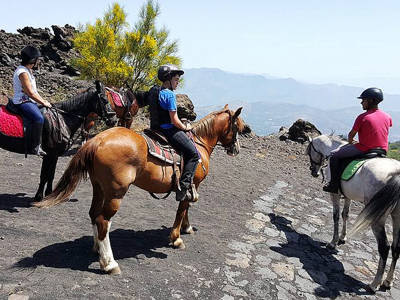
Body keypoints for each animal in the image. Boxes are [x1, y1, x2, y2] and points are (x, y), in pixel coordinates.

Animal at [35, 105, 244, 274]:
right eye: (237, 127)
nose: (236, 149)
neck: (199, 144)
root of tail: (98, 140)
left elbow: (186, 209)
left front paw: (187, 228)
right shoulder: (191, 184)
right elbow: (182, 208)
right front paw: (176, 238)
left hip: (99, 188)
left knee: (94, 214)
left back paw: (98, 250)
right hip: (116, 193)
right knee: (103, 220)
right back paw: (109, 264)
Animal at [308, 134, 400, 292]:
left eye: (309, 151)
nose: (314, 172)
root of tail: (396, 174)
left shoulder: (335, 194)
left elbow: (336, 216)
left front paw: (333, 242)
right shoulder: (347, 195)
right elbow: (345, 214)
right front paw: (342, 237)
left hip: (378, 218)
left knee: (384, 248)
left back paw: (374, 283)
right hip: (397, 216)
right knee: (396, 247)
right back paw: (387, 281)